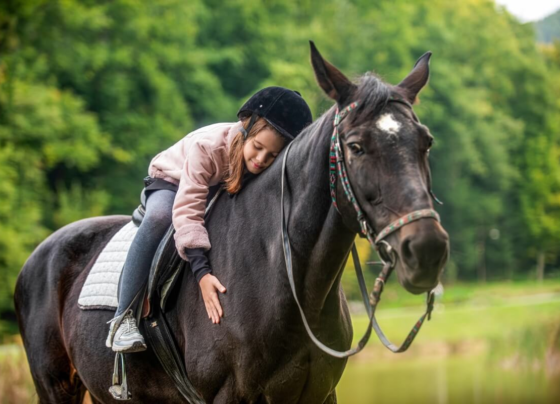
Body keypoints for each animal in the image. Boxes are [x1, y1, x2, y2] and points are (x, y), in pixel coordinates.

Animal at [14, 42, 449, 403]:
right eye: (356, 146)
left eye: (425, 142)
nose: (427, 249)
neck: (281, 278)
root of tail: (41, 253)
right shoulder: (228, 396)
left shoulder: (320, 394)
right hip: (56, 388)